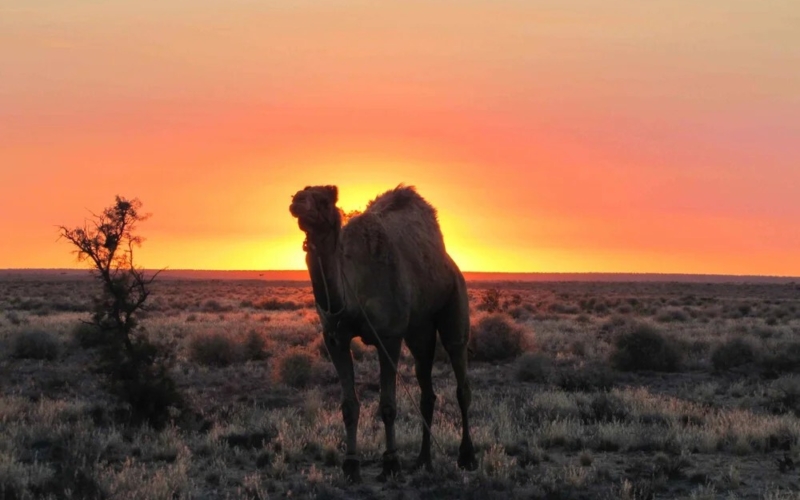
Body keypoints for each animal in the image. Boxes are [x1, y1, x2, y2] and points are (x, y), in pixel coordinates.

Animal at [289, 184, 477, 482]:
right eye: (299, 193)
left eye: (324, 199)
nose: (297, 202)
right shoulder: (334, 338)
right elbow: (349, 406)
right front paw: (351, 465)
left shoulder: (389, 337)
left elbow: (388, 405)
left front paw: (391, 463)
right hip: (419, 332)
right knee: (427, 389)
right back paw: (423, 460)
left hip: (455, 301)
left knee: (461, 379)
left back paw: (467, 457)